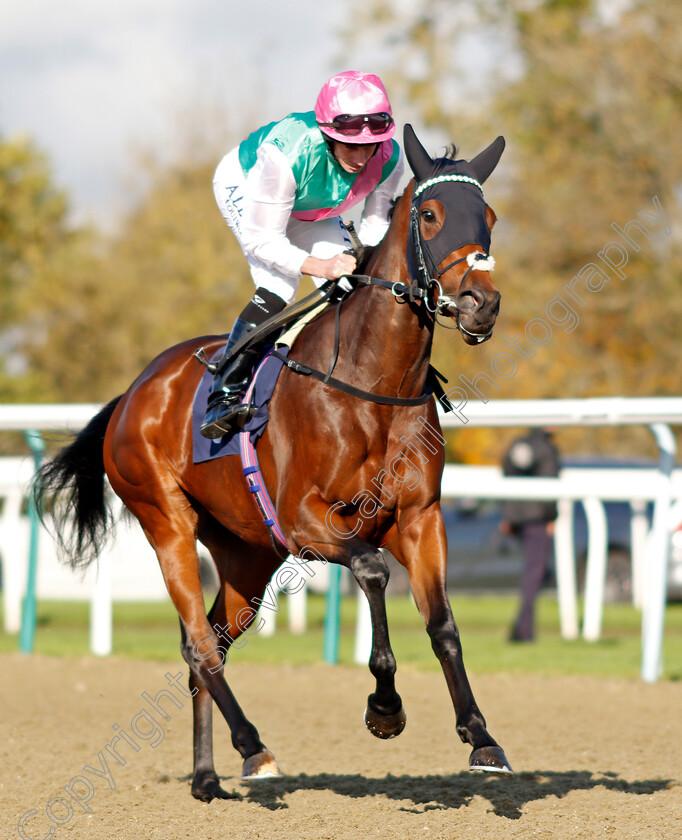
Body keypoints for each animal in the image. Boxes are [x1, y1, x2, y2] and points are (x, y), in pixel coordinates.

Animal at [34, 124, 508, 800]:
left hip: (246, 555)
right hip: (166, 521)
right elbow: (371, 573)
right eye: (429, 214)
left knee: (211, 642)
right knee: (200, 646)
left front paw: (480, 735)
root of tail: (132, 393)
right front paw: (384, 708)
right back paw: (252, 747)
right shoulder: (309, 521)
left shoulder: (420, 517)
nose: (478, 303)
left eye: (489, 217)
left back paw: (207, 776)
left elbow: (442, 622)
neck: (372, 385)